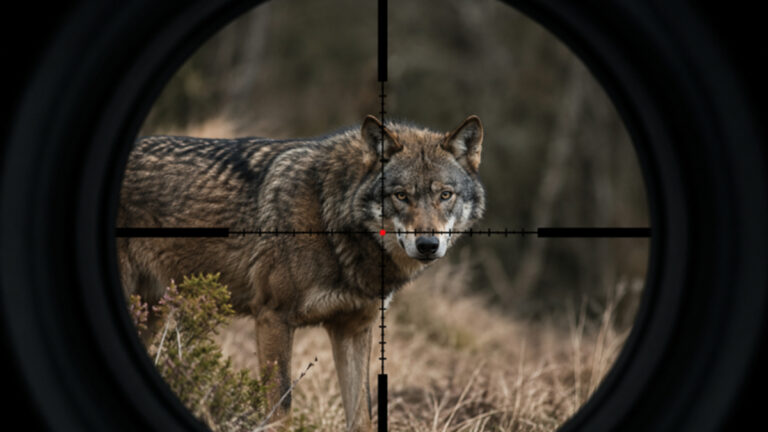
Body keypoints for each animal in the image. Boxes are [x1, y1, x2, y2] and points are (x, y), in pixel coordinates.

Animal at [117, 115, 485, 431]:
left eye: (445, 195)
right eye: (401, 196)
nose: (427, 244)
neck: (329, 217)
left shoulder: (353, 328)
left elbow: (361, 418)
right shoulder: (272, 318)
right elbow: (281, 412)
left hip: (152, 314)